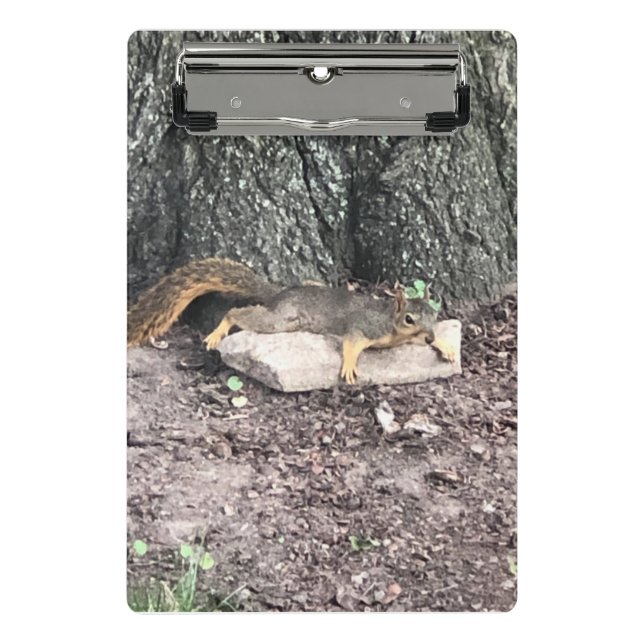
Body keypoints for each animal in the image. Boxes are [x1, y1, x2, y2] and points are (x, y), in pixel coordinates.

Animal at [127, 257, 456, 384]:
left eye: (433, 315)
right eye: (409, 318)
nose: (428, 336)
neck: (391, 321)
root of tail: (280, 293)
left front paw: (445, 346)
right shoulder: (365, 325)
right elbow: (351, 342)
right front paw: (350, 365)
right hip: (282, 320)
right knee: (237, 313)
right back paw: (218, 332)